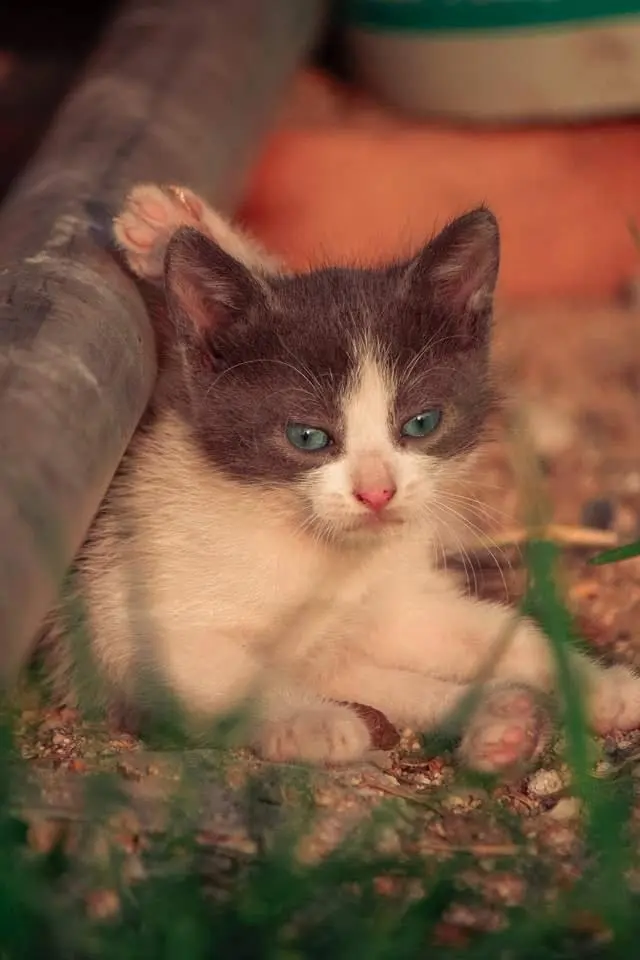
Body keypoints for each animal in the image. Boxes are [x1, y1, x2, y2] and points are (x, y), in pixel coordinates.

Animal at [37, 184, 640, 776]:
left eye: (422, 423)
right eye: (307, 436)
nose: (377, 493)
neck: (321, 560)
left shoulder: (390, 602)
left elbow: (507, 635)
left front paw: (598, 687)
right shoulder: (128, 618)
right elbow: (231, 679)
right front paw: (314, 723)